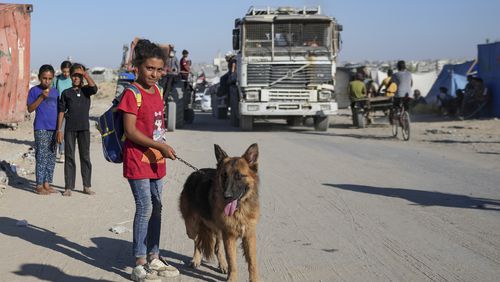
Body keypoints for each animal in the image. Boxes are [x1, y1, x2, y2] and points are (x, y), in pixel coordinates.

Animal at [181, 144, 262, 280]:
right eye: (224, 176)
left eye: (239, 176)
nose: (226, 196)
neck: (239, 210)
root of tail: (195, 172)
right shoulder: (229, 236)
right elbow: (232, 262)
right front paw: (232, 279)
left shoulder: (249, 236)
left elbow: (253, 264)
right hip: (191, 228)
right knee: (197, 241)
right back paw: (196, 259)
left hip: (218, 230)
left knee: (217, 247)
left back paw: (223, 264)